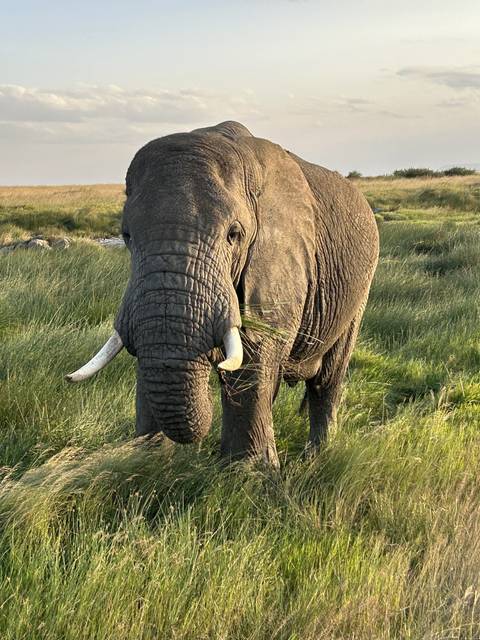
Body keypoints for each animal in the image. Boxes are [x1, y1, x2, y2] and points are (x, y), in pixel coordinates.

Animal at [67, 121, 379, 466]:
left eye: (234, 235)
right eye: (126, 236)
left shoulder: (280, 260)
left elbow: (256, 349)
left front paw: (247, 472)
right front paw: (143, 462)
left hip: (360, 287)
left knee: (327, 379)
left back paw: (316, 458)